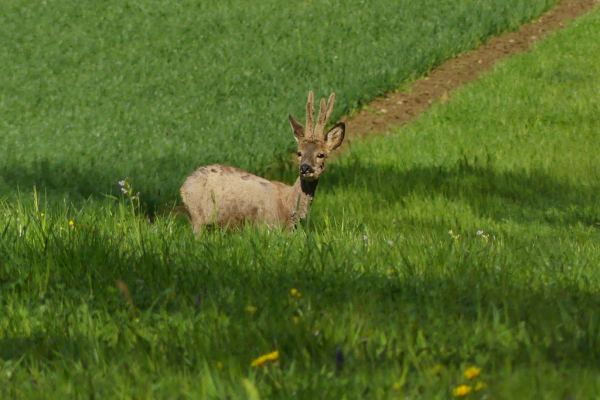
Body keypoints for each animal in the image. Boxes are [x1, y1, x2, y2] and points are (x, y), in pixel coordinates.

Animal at [180, 92, 344, 233]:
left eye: (321, 154)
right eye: (299, 153)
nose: (305, 168)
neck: (288, 205)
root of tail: (184, 185)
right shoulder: (268, 226)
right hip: (197, 217)